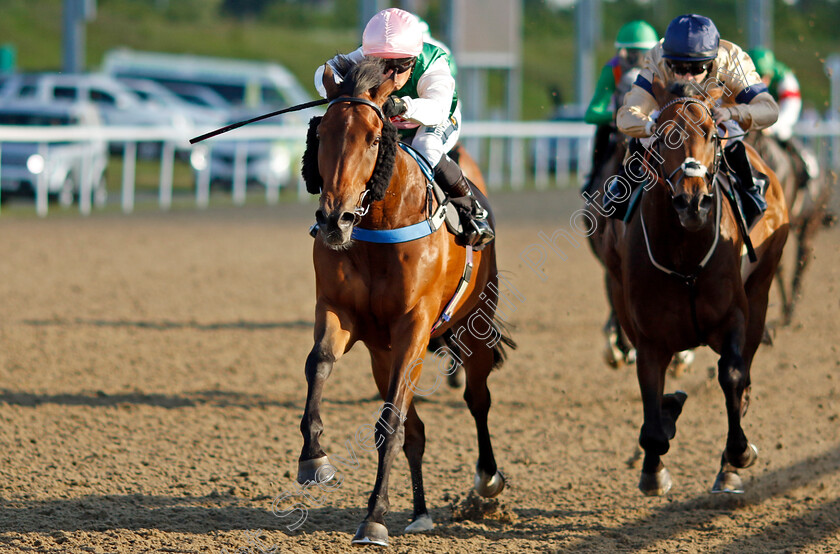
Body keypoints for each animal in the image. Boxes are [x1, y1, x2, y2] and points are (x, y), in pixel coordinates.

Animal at [298, 57, 516, 544]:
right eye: (322, 134)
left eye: (373, 137)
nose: (335, 220)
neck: (380, 223)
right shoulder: (340, 312)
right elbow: (318, 363)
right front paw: (314, 458)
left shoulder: (414, 326)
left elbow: (390, 422)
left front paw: (373, 518)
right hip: (383, 354)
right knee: (416, 430)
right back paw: (419, 511)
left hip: (471, 326)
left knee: (477, 399)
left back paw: (487, 479)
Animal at [600, 76, 792, 492]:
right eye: (663, 136)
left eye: (711, 132)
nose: (692, 203)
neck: (685, 257)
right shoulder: (649, 335)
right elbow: (653, 405)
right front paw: (653, 466)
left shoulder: (734, 315)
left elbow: (733, 376)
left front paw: (737, 455)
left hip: (761, 289)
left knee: (745, 370)